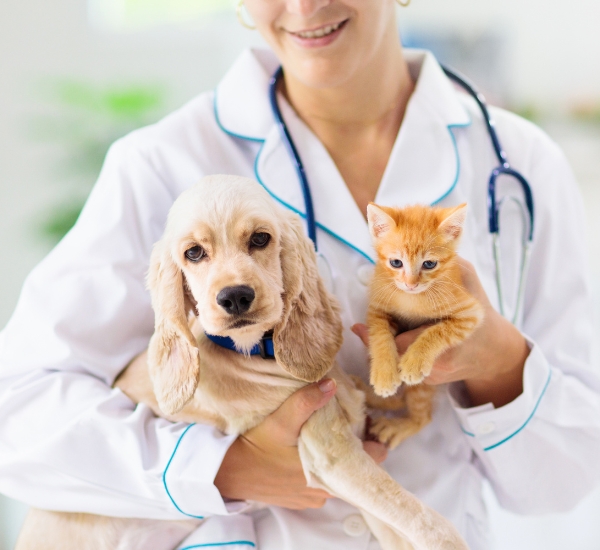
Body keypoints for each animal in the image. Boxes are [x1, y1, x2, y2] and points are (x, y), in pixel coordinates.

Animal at [364, 203, 486, 448]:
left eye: (429, 264)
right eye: (396, 262)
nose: (411, 284)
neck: (412, 299)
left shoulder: (470, 312)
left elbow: (438, 331)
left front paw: (414, 361)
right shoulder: (377, 308)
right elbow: (379, 335)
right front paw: (384, 373)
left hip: (423, 388)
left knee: (422, 416)